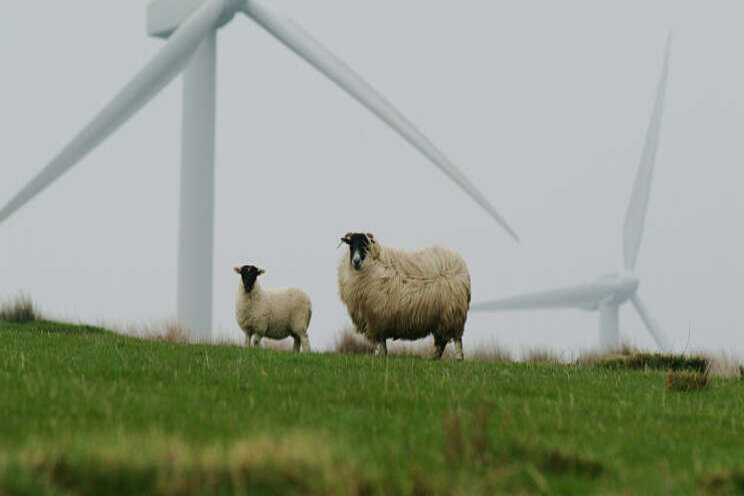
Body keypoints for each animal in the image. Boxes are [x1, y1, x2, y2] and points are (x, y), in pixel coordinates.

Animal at [338, 232, 470, 360]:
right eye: (351, 245)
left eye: (365, 245)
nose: (356, 261)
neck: (372, 266)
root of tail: (459, 265)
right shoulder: (377, 320)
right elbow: (382, 343)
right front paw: (382, 356)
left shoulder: (376, 318)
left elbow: (379, 342)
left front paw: (377, 356)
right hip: (441, 318)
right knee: (441, 342)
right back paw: (434, 358)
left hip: (453, 315)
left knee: (456, 340)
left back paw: (458, 358)